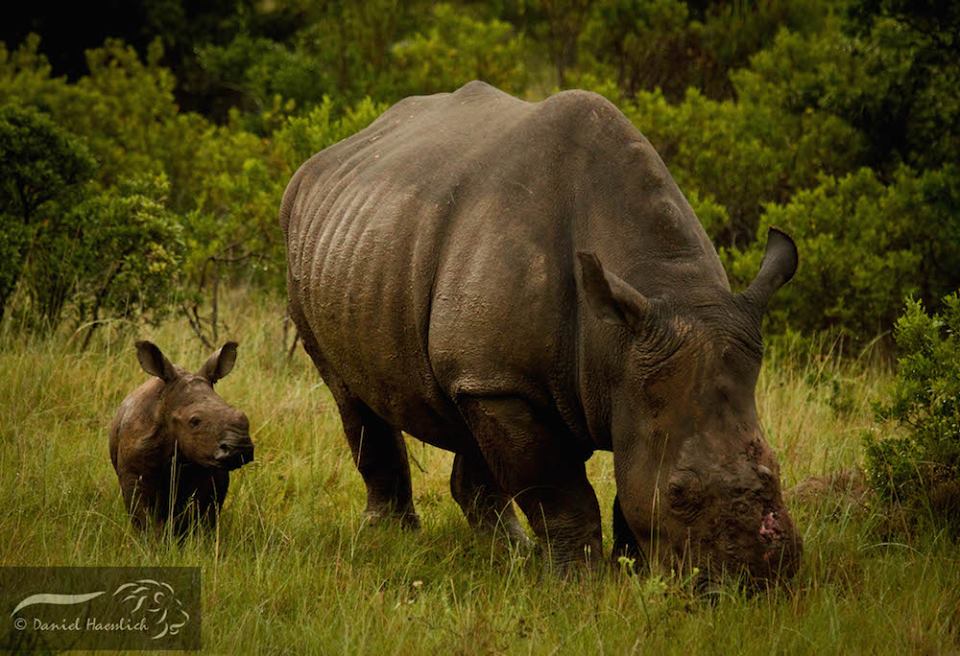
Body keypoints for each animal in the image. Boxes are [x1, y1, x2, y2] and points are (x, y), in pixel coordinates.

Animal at [109, 340, 255, 536]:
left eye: (243, 416)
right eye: (194, 421)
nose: (240, 447)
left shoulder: (211, 468)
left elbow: (201, 515)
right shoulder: (133, 471)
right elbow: (143, 517)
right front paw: (152, 541)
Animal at [280, 82, 804, 584]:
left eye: (776, 471)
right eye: (679, 493)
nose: (758, 580)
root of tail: (328, 156)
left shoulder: (610, 376)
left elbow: (625, 476)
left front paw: (630, 570)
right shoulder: (509, 382)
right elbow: (560, 489)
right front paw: (580, 581)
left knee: (465, 413)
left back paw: (509, 551)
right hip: (308, 235)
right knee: (349, 392)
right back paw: (393, 536)